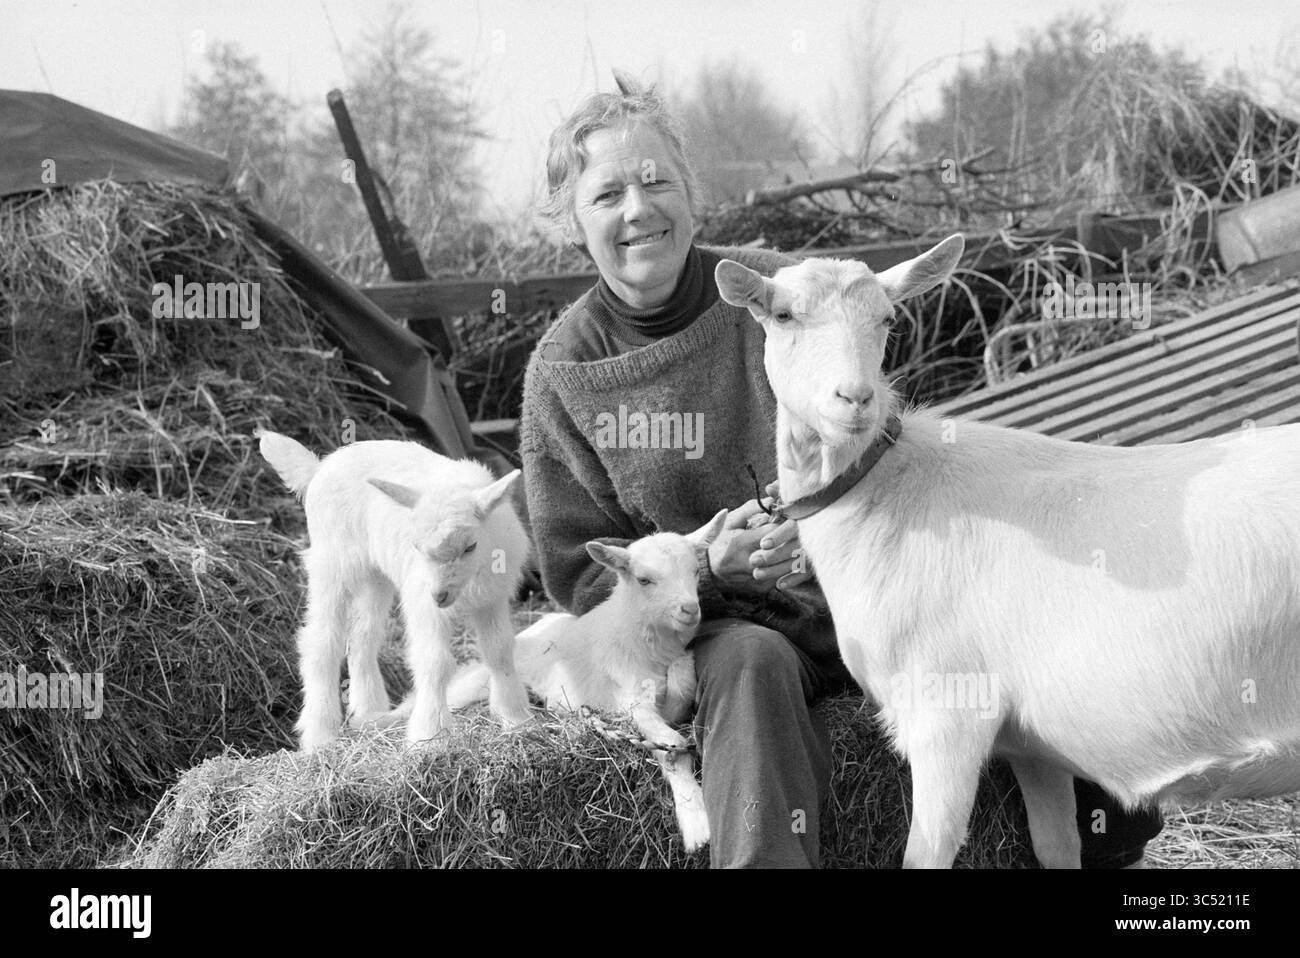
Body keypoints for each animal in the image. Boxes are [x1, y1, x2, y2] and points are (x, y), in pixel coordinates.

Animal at [258, 431, 532, 750]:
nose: (439, 595)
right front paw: (430, 736)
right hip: (332, 562)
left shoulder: (492, 598)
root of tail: (318, 468)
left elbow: (499, 651)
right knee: (322, 641)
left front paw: (515, 718)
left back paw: (368, 713)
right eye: (416, 546)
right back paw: (319, 735)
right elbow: (434, 661)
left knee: (362, 637)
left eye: (470, 546)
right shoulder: (423, 604)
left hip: (374, 577)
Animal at [383, 511, 727, 853]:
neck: (643, 642)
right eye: (644, 580)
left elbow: (682, 680)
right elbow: (669, 749)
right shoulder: (629, 698)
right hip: (489, 679)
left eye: (697, 571)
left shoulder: (671, 678)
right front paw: (696, 825)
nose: (689, 610)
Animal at [715, 237, 1300, 868]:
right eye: (783, 315)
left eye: (888, 319)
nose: (854, 398)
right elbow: (1055, 846)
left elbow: (927, 853)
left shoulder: (948, 714)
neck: (886, 498)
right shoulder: (1032, 749)